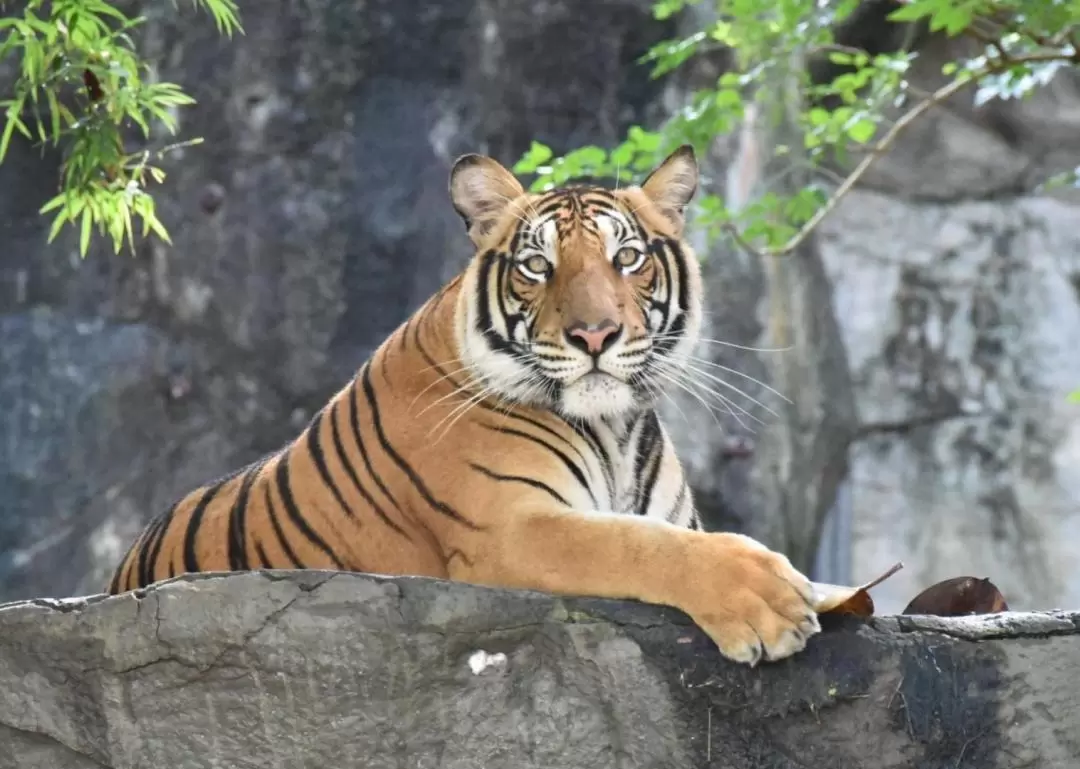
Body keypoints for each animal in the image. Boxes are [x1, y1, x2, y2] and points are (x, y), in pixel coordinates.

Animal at [107, 146, 816, 665]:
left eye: (628, 258)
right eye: (537, 266)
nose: (594, 336)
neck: (615, 427)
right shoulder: (510, 529)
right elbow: (635, 544)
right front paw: (771, 599)